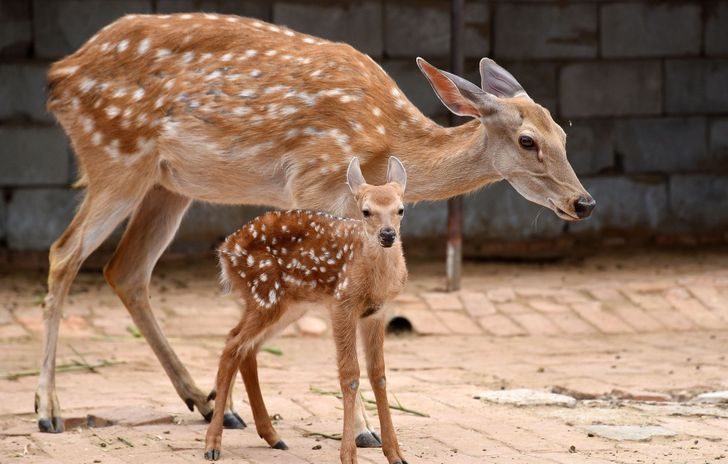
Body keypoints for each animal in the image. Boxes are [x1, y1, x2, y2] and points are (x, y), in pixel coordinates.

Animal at [205, 158, 410, 462]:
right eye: (366, 211)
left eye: (400, 209)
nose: (388, 234)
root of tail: (225, 251)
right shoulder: (342, 304)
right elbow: (350, 375)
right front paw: (348, 455)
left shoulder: (376, 313)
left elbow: (379, 375)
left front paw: (395, 454)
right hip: (264, 294)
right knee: (232, 346)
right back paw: (213, 444)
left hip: (286, 306)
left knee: (244, 347)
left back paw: (273, 437)